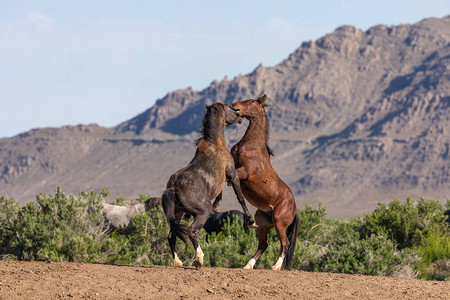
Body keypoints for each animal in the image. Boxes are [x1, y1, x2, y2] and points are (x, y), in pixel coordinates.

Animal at [163, 102, 255, 268]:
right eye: (229, 107)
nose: (239, 114)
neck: (215, 144)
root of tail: (174, 187)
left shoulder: (221, 180)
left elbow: (220, 191)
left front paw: (217, 205)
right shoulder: (232, 174)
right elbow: (240, 197)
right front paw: (251, 221)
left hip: (177, 214)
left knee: (171, 236)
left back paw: (178, 262)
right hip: (202, 213)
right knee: (191, 231)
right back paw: (199, 260)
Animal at [230, 95, 300, 270]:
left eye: (251, 102)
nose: (234, 105)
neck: (250, 146)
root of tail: (294, 210)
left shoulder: (244, 172)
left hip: (279, 222)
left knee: (285, 244)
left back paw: (276, 267)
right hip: (263, 224)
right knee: (263, 245)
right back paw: (248, 265)